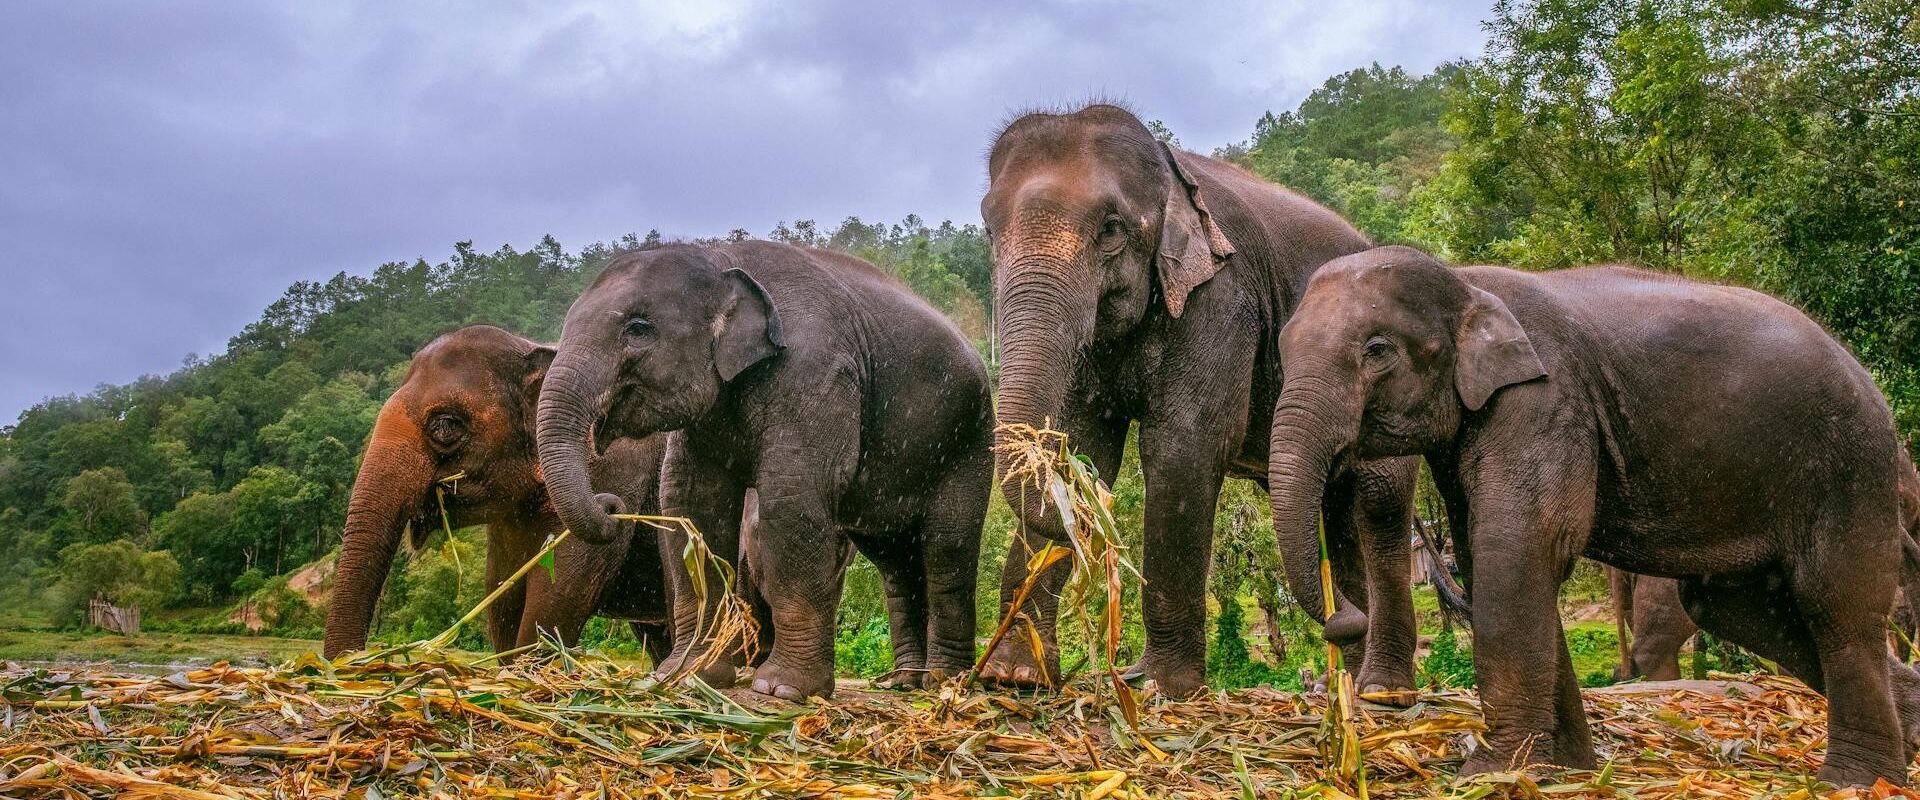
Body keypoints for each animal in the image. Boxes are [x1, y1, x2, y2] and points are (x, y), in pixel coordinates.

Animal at [534, 242, 993, 701]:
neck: (721, 257)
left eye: (638, 329)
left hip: (970, 438)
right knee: (895, 562)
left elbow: (791, 496)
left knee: (947, 547)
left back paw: (944, 682)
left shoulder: (813, 372)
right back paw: (907, 682)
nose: (610, 506)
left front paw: (782, 690)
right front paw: (684, 677)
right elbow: (690, 502)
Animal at [978, 103, 1420, 699]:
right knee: (1338, 510)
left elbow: (1183, 445)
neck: (1169, 171)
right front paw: (1014, 677)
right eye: (988, 228)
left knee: (1380, 504)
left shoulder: (1224, 298)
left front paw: (1163, 688)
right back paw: (1344, 686)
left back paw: (1381, 693)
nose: (1091, 513)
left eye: (1111, 230)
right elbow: (1086, 441)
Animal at [1265, 244, 1920, 786]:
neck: (1467, 284)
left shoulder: (1545, 402)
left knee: (1834, 606)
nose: (1345, 620)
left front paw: (1493, 771)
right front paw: (1566, 768)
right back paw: (1909, 737)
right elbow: (1488, 556)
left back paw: (1855, 781)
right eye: (1284, 350)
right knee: (1740, 607)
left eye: (1376, 351)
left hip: (1847, 468)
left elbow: (1519, 548)